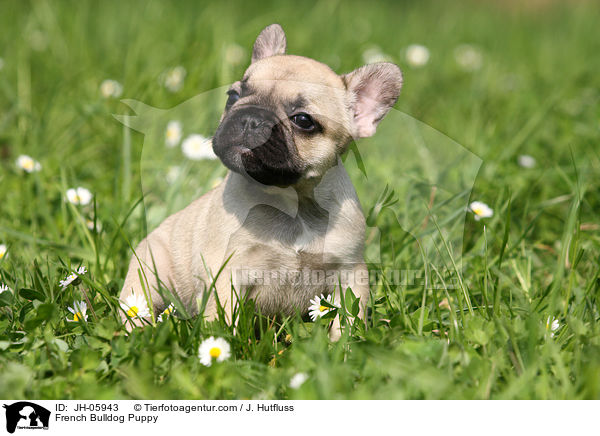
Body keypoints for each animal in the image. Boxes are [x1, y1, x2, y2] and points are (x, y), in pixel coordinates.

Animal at [119, 23, 400, 340]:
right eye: (232, 96)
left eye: (303, 120)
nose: (251, 118)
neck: (293, 202)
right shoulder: (228, 274)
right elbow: (222, 320)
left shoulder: (350, 274)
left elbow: (347, 321)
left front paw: (344, 347)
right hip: (146, 274)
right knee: (137, 308)